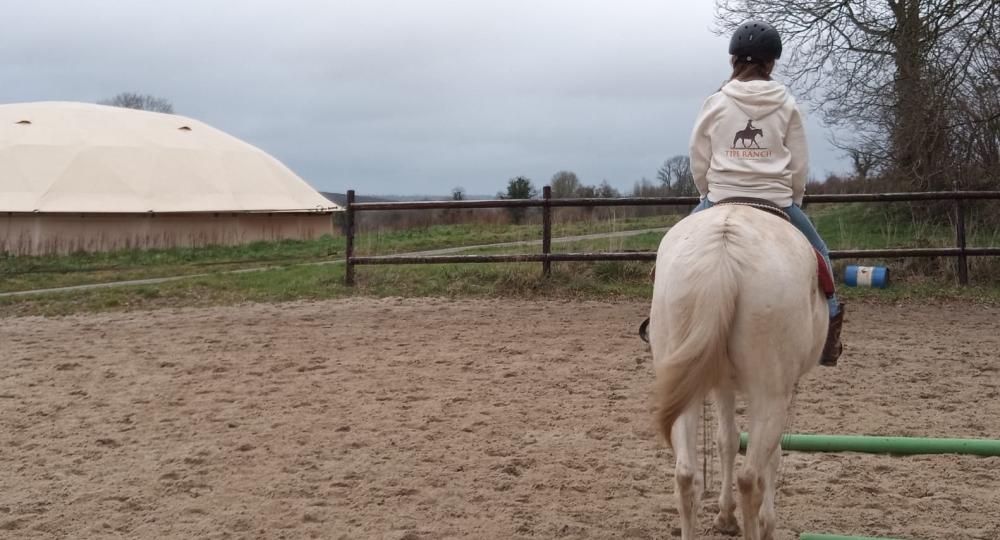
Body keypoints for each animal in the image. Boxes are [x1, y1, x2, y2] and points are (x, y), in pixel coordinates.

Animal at [648, 204, 828, 540]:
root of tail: (722, 252)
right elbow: (773, 455)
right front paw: (766, 523)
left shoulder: (722, 385)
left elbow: (727, 440)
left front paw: (724, 515)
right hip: (770, 396)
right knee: (750, 478)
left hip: (684, 388)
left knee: (685, 475)